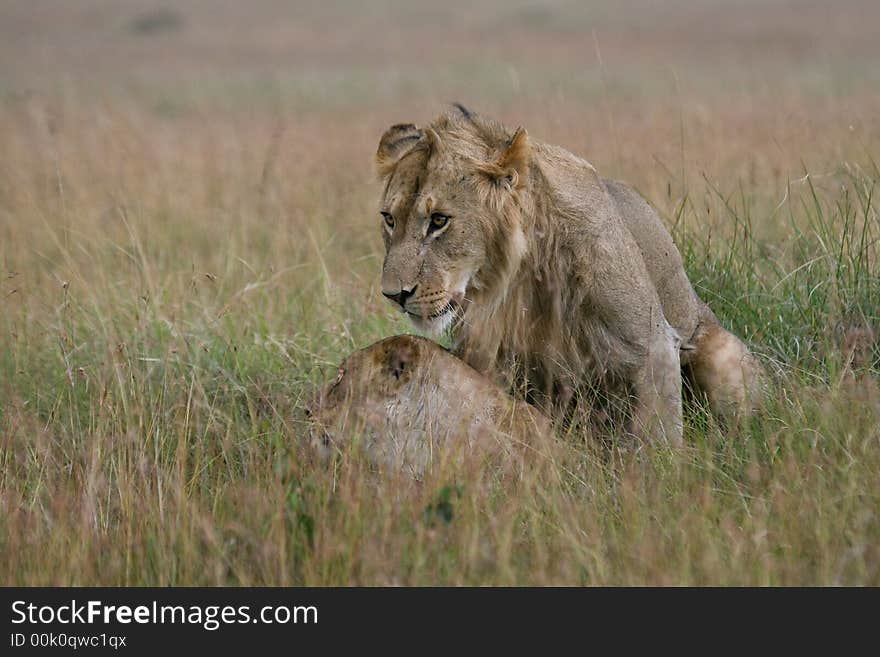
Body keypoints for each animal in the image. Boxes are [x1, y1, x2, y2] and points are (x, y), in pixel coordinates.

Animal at [374, 104, 760, 440]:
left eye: (439, 220)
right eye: (390, 220)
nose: (393, 295)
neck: (517, 274)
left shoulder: (651, 347)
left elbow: (655, 444)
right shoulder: (485, 359)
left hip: (722, 355)